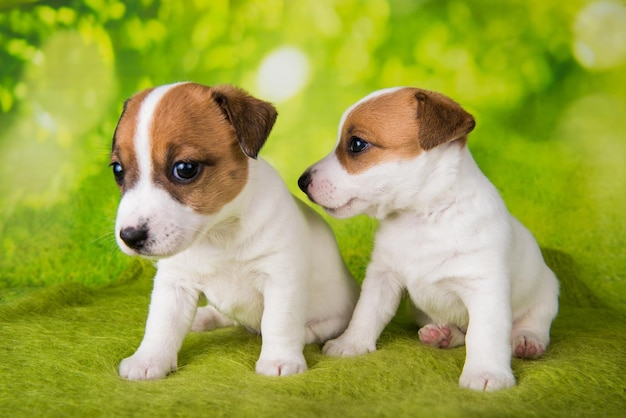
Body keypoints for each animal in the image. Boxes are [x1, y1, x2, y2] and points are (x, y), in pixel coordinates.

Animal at [109, 81, 356, 378]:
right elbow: (161, 324)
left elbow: (279, 322)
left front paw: (280, 360)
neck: (218, 232)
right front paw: (148, 360)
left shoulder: (281, 277)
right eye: (118, 170)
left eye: (185, 168)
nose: (130, 237)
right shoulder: (174, 282)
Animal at [300, 88, 560, 392]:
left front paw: (486, 374)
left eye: (357, 144)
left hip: (546, 294)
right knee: (460, 333)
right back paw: (442, 335)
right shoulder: (382, 277)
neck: (422, 217)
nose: (301, 182)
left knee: (533, 322)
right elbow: (366, 313)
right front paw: (350, 344)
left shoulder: (485, 287)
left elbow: (485, 334)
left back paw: (527, 341)